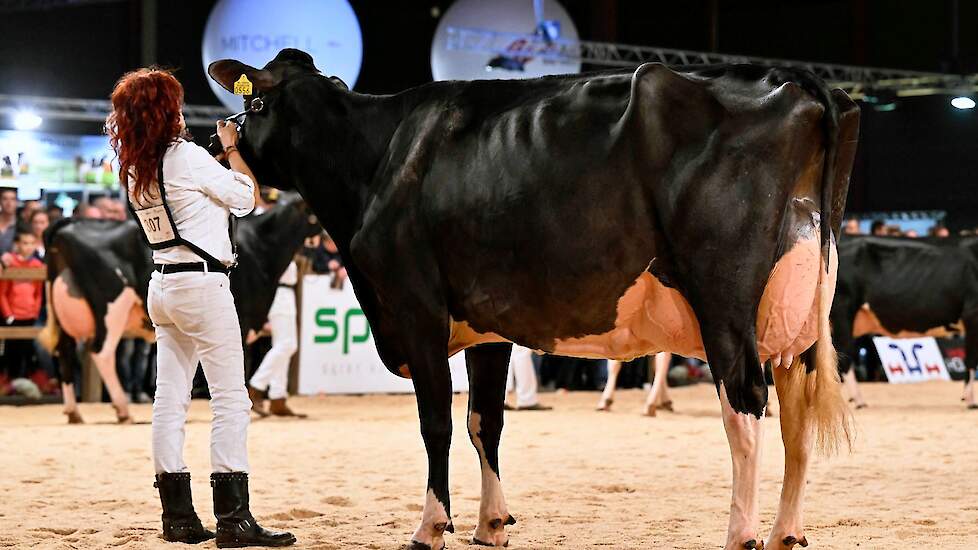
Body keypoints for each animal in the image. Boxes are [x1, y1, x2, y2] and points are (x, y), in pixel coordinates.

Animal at [39, 198, 320, 426]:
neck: (262, 248)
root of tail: (70, 223)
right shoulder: (242, 319)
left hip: (64, 314)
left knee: (64, 352)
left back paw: (74, 412)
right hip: (111, 305)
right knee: (102, 352)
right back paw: (122, 409)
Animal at [210, 48, 856, 550]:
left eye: (255, 102)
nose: (218, 142)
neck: (374, 159)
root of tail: (796, 78)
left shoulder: (417, 309)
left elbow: (437, 423)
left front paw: (430, 526)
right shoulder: (486, 326)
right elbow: (485, 420)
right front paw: (490, 523)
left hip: (722, 299)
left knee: (745, 406)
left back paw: (741, 533)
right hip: (799, 315)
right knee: (795, 420)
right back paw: (785, 532)